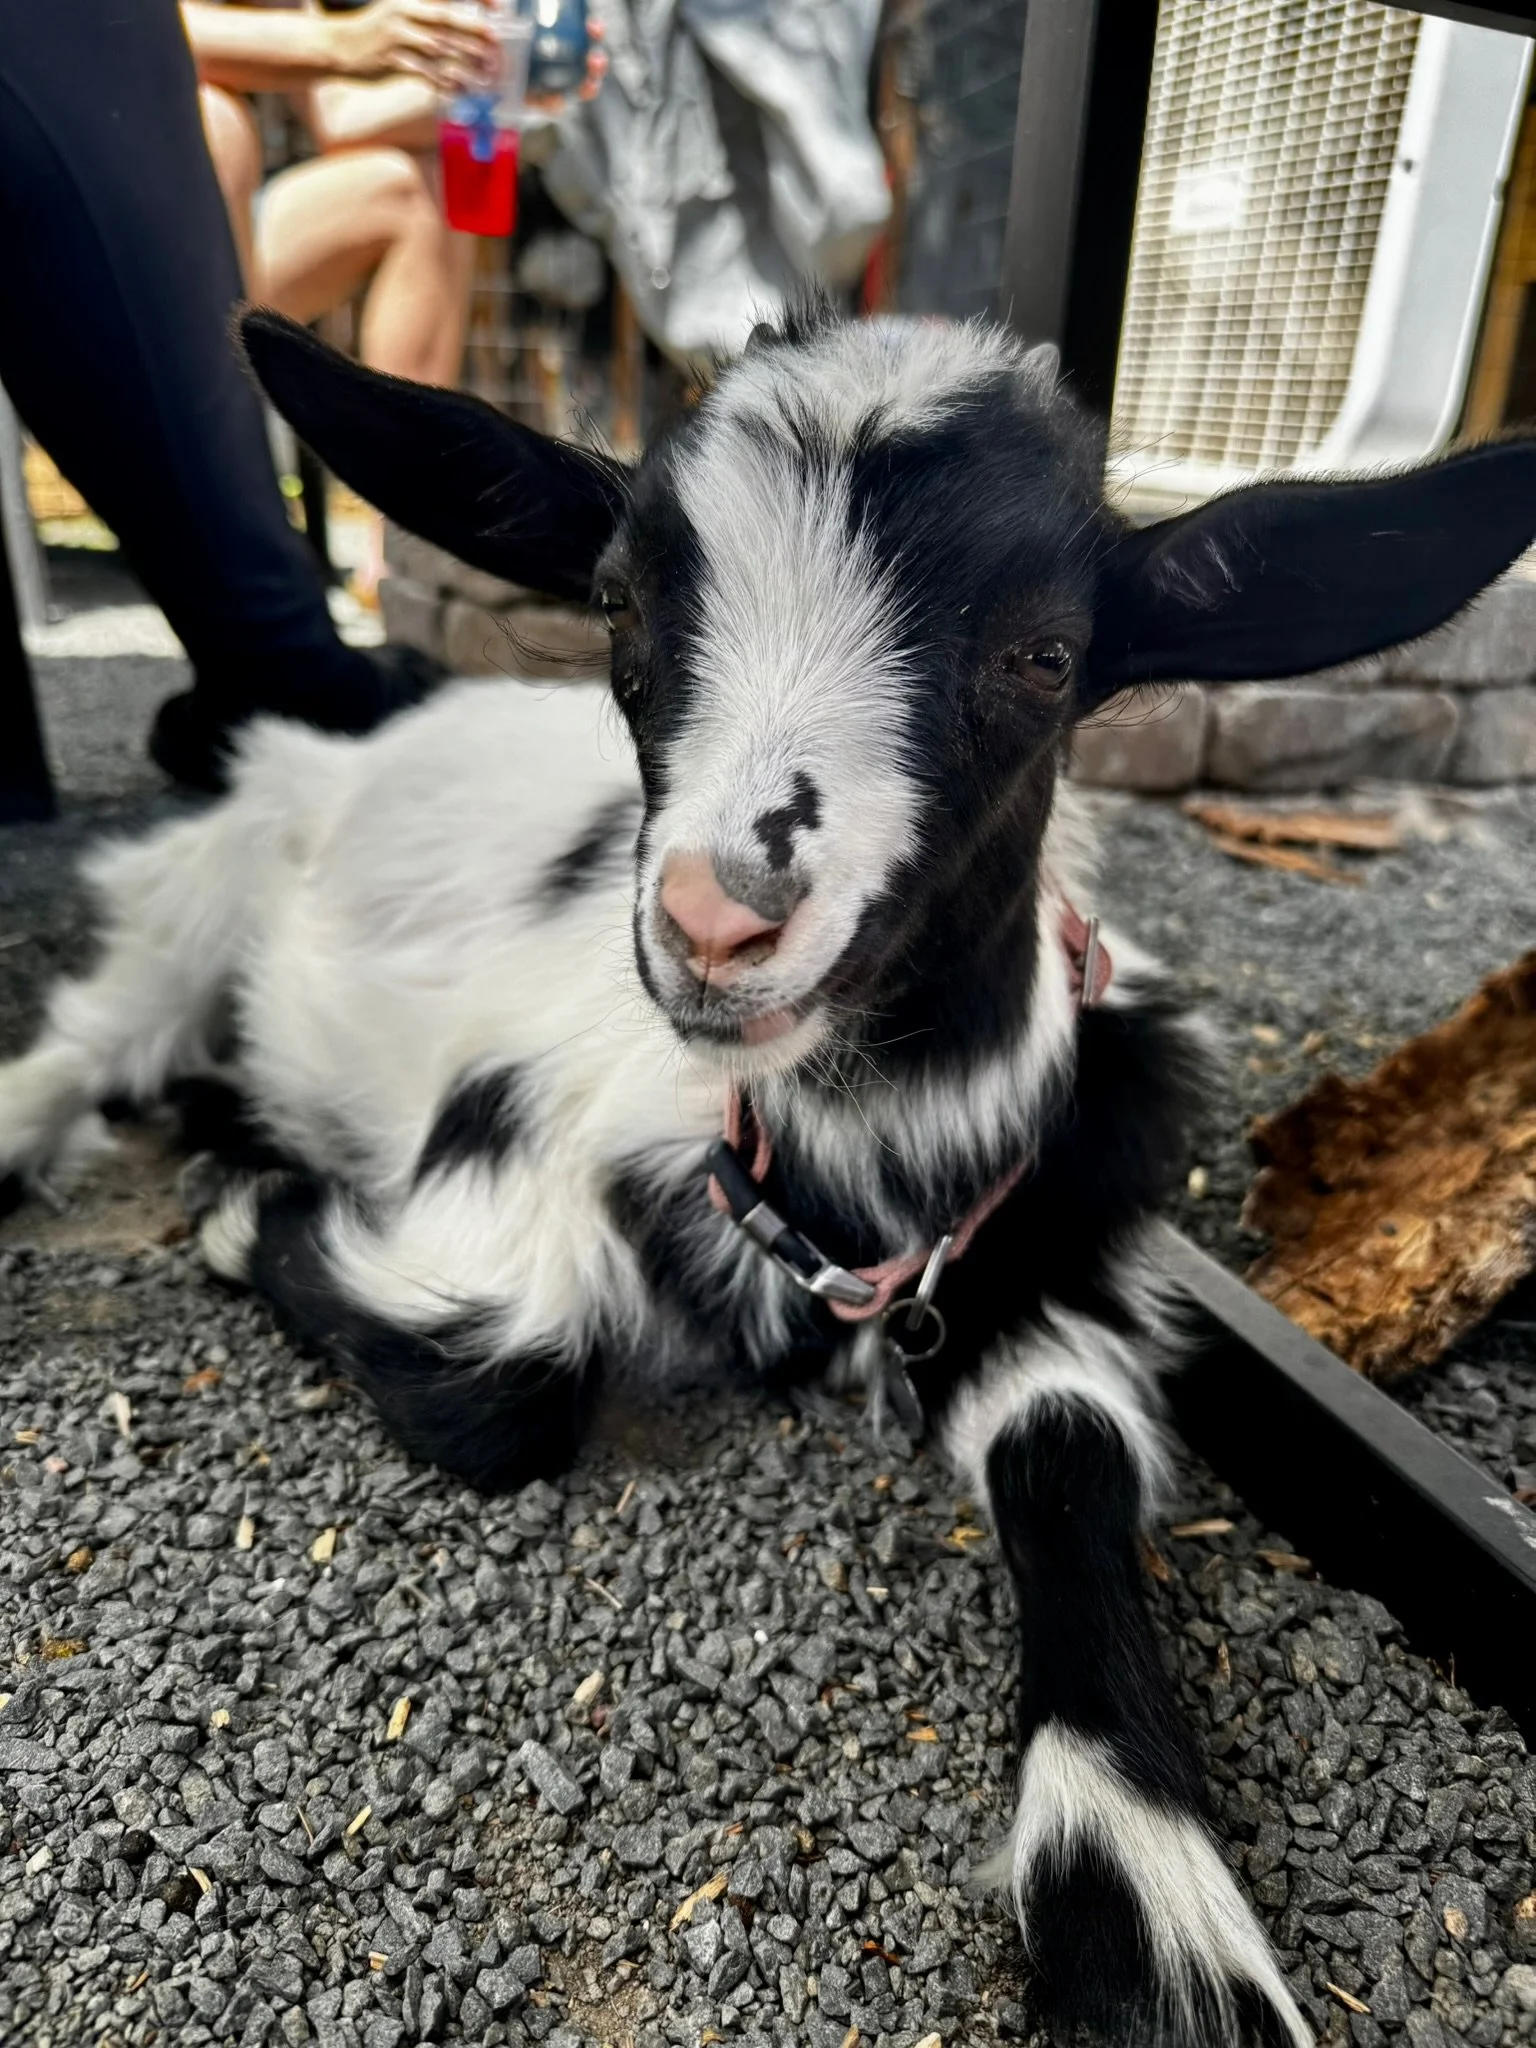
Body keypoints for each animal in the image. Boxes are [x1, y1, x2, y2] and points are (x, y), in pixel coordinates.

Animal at [3, 299, 1533, 2047]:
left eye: (1045, 654)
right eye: (618, 601)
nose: (718, 921)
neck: (843, 1149)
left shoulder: (1036, 1248)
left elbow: (1067, 1450)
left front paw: (1145, 1908)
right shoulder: (500, 1133)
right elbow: (502, 1368)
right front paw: (245, 1202)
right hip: (209, 890)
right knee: (85, 1043)